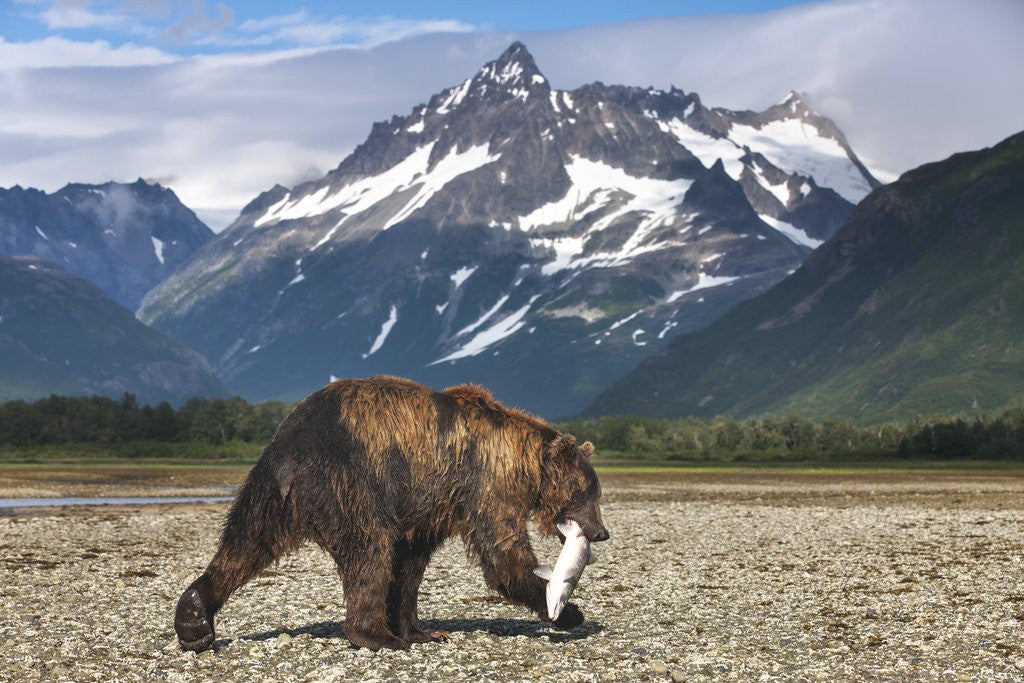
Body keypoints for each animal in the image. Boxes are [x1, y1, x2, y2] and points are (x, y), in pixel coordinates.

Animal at [174, 376, 609, 652]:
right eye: (589, 492)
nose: (601, 532)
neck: (526, 464)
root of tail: (290, 452)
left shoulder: (432, 503)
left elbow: (412, 564)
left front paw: (420, 627)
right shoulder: (485, 482)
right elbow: (504, 558)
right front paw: (568, 611)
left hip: (269, 490)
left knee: (245, 543)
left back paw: (194, 619)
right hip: (352, 482)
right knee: (370, 551)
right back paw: (375, 635)